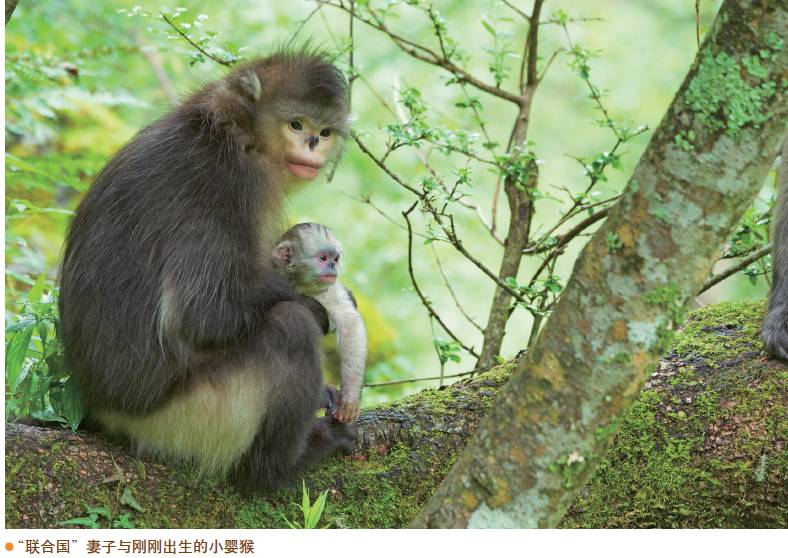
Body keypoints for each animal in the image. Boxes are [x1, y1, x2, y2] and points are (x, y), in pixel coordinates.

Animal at [60, 49, 356, 494]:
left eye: (324, 131)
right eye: (296, 124)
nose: (312, 143)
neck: (229, 130)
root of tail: (104, 410)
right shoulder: (227, 181)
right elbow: (202, 312)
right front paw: (317, 306)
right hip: (188, 416)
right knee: (289, 327)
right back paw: (278, 467)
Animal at [270, 223, 370, 424]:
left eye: (335, 259)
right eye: (323, 258)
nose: (333, 266)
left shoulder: (328, 290)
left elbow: (350, 324)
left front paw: (350, 396)